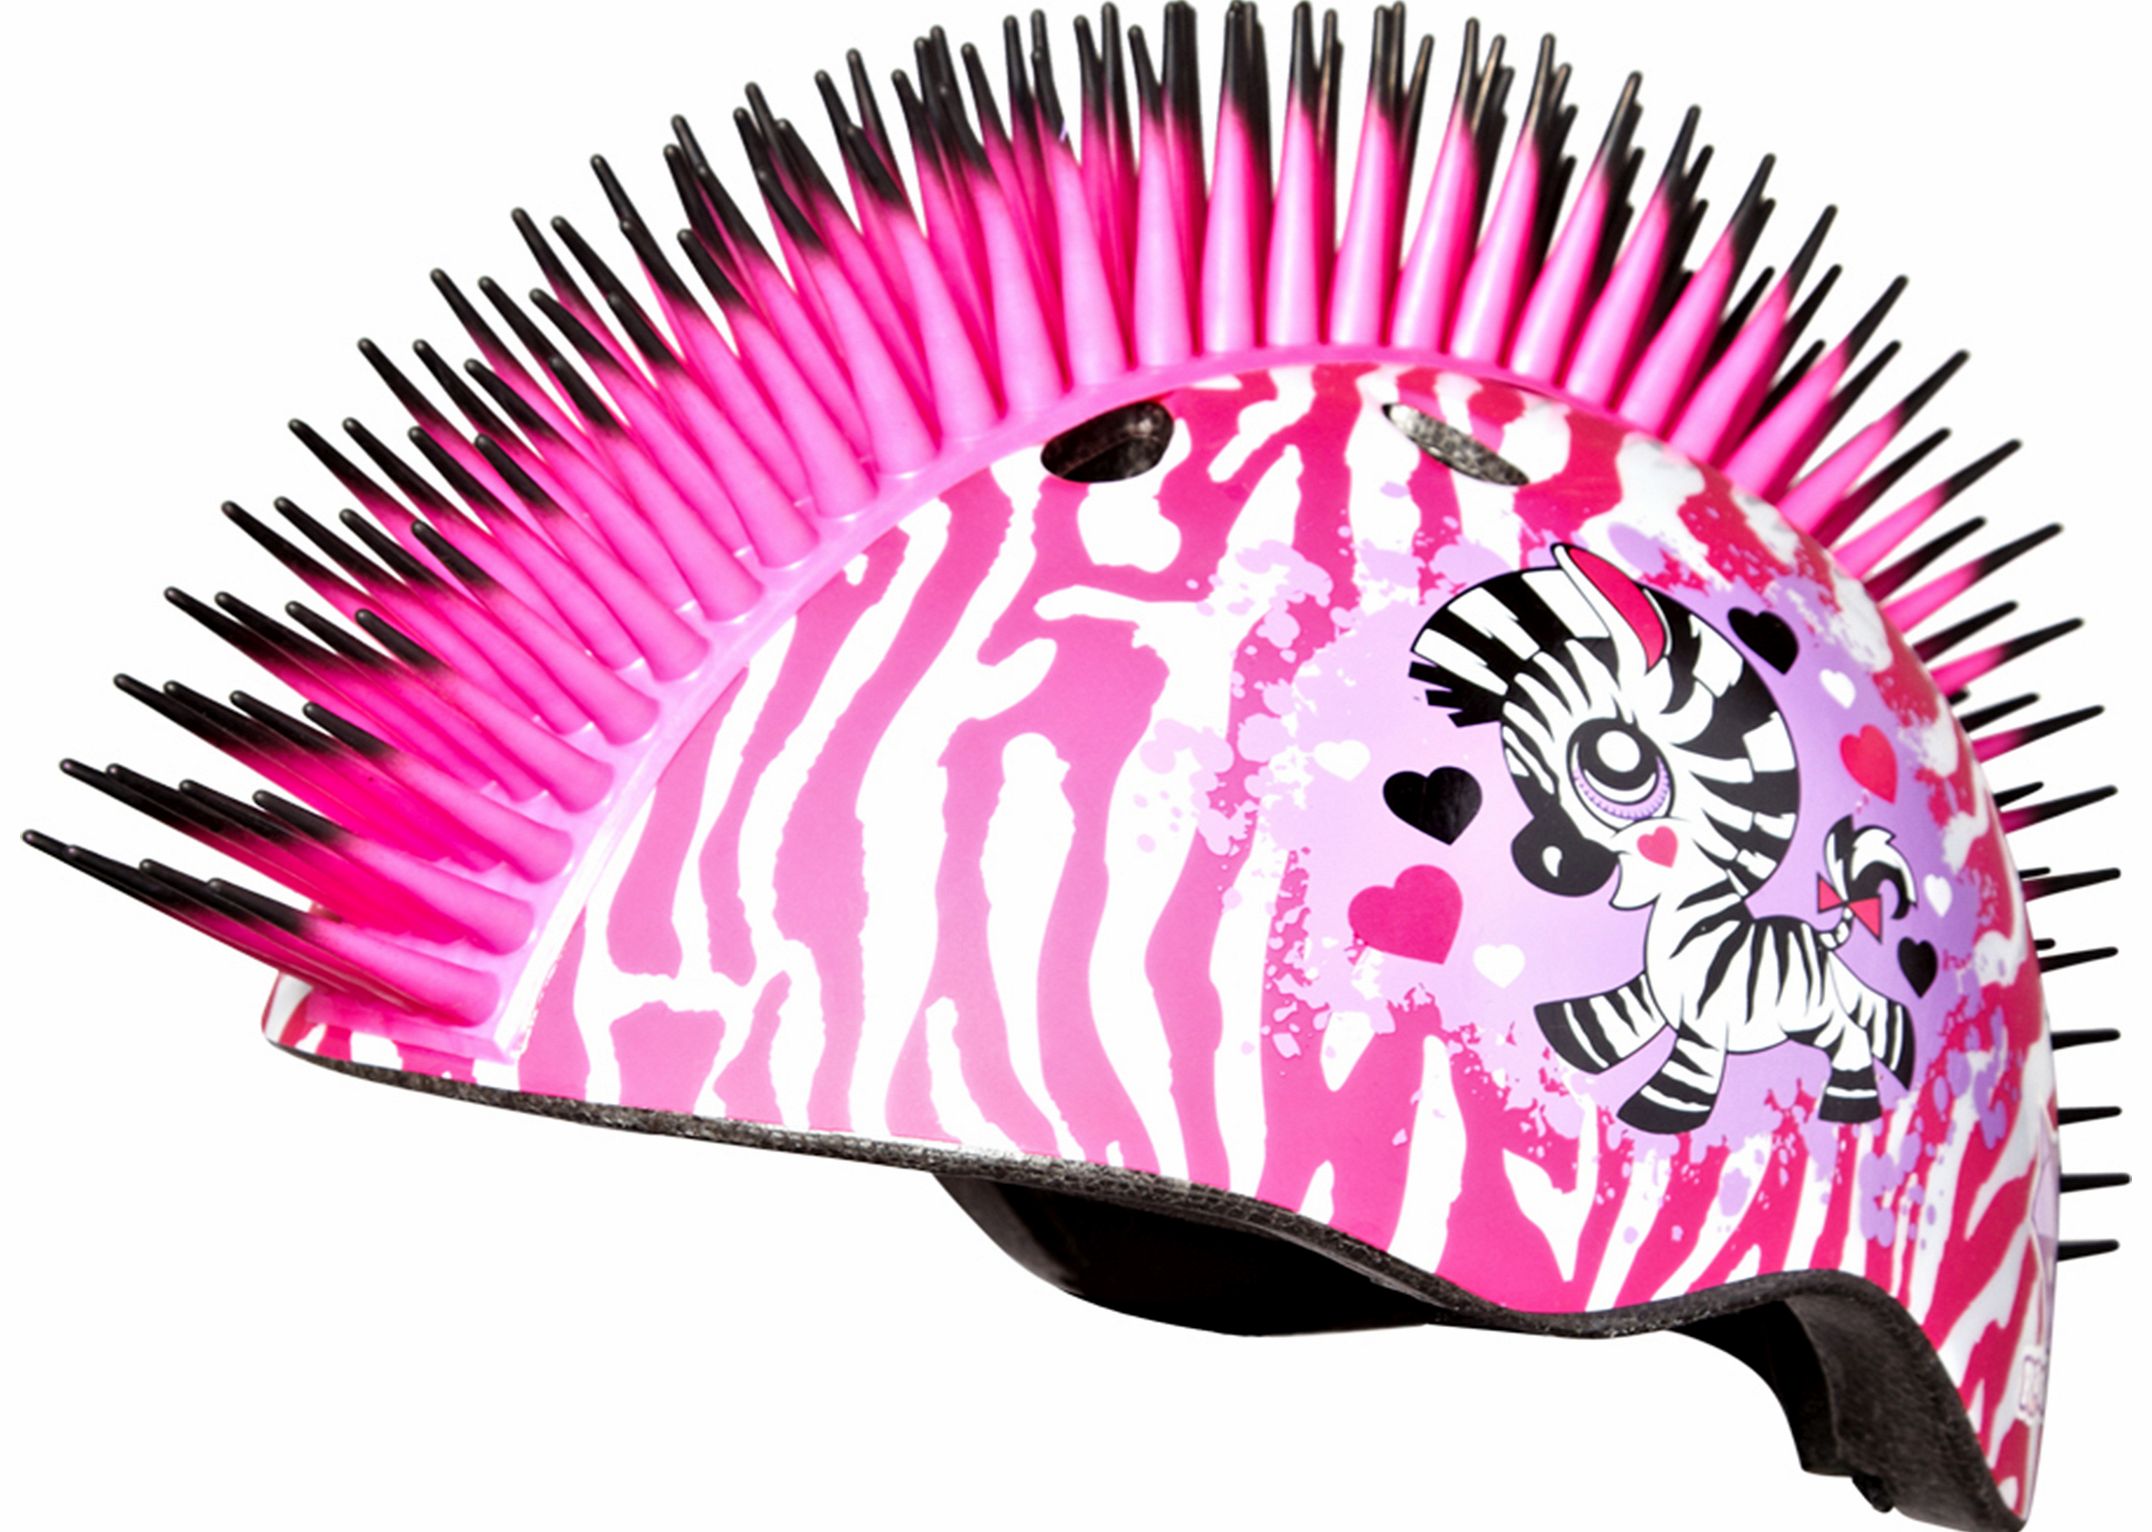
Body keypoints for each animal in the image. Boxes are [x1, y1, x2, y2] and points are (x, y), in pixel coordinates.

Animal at [1408, 544, 1915, 1133]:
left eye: (1615, 766)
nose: (1541, 861)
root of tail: (1821, 934)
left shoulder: (1703, 1025)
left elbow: (1683, 1074)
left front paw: (1658, 1109)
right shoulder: (1654, 992)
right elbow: (1612, 1018)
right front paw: (1577, 1040)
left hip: (1810, 1015)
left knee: (1851, 1032)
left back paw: (1851, 1098)